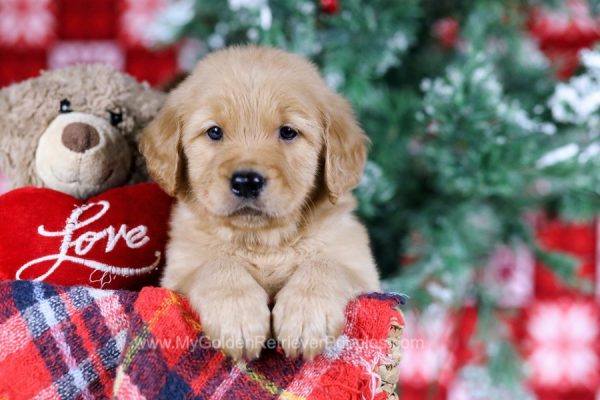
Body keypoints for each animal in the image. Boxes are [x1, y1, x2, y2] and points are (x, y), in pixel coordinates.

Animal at [141, 45, 380, 360]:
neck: (263, 242)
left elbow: (325, 263)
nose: (246, 181)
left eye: (288, 132)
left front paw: (306, 316)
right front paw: (238, 317)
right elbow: (215, 264)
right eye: (214, 132)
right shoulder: (178, 272)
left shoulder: (362, 268)